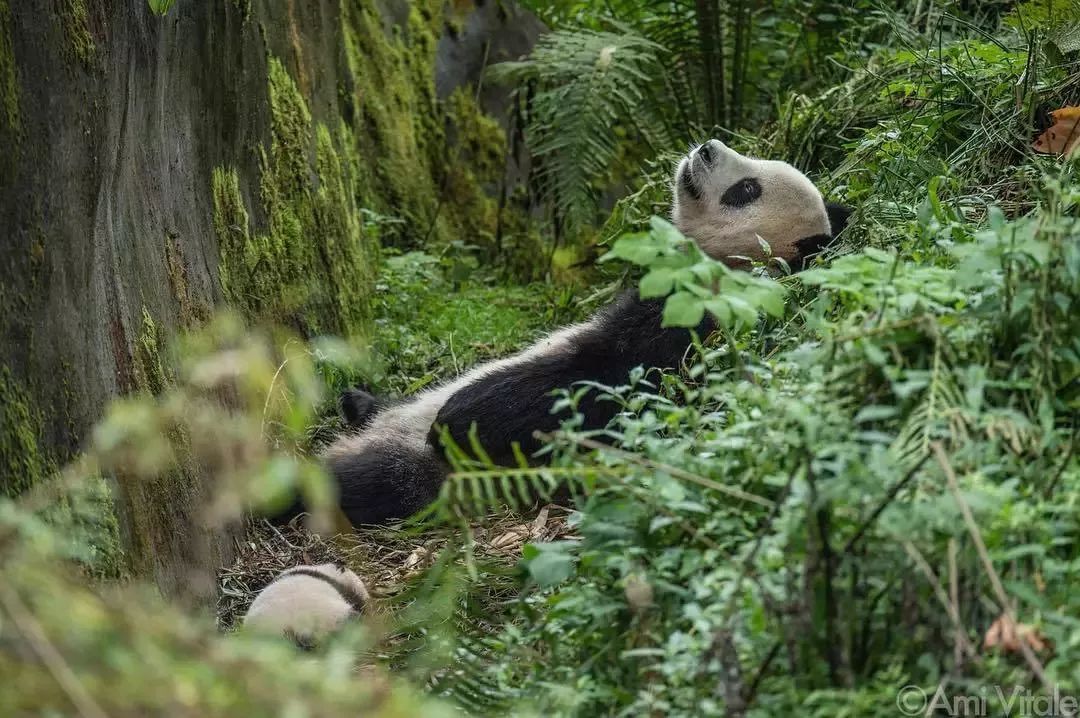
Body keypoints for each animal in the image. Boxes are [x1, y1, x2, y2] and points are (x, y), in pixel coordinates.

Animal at [321, 137, 851, 524]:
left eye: (746, 190)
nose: (706, 148)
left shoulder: (689, 326)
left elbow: (593, 387)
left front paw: (456, 416)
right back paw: (359, 402)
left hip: (421, 471)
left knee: (360, 482)